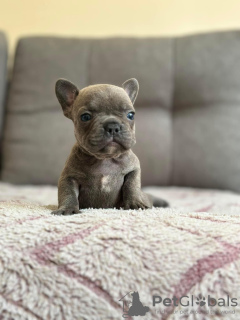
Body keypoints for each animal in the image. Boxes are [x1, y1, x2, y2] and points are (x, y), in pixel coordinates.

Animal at [52, 77, 169, 215]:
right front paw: (68, 209)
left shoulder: (134, 169)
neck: (106, 158)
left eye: (131, 115)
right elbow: (68, 193)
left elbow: (132, 186)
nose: (113, 126)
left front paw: (134, 203)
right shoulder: (69, 177)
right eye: (85, 117)